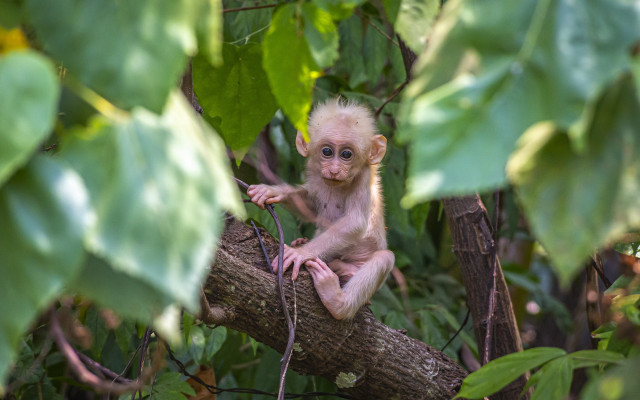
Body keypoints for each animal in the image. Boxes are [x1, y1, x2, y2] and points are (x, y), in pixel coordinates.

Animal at [247, 99, 395, 320]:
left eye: (346, 154)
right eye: (327, 152)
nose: (334, 170)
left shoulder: (364, 177)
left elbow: (356, 222)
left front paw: (300, 253)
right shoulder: (316, 173)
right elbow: (310, 205)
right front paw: (273, 191)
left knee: (385, 258)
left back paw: (337, 301)